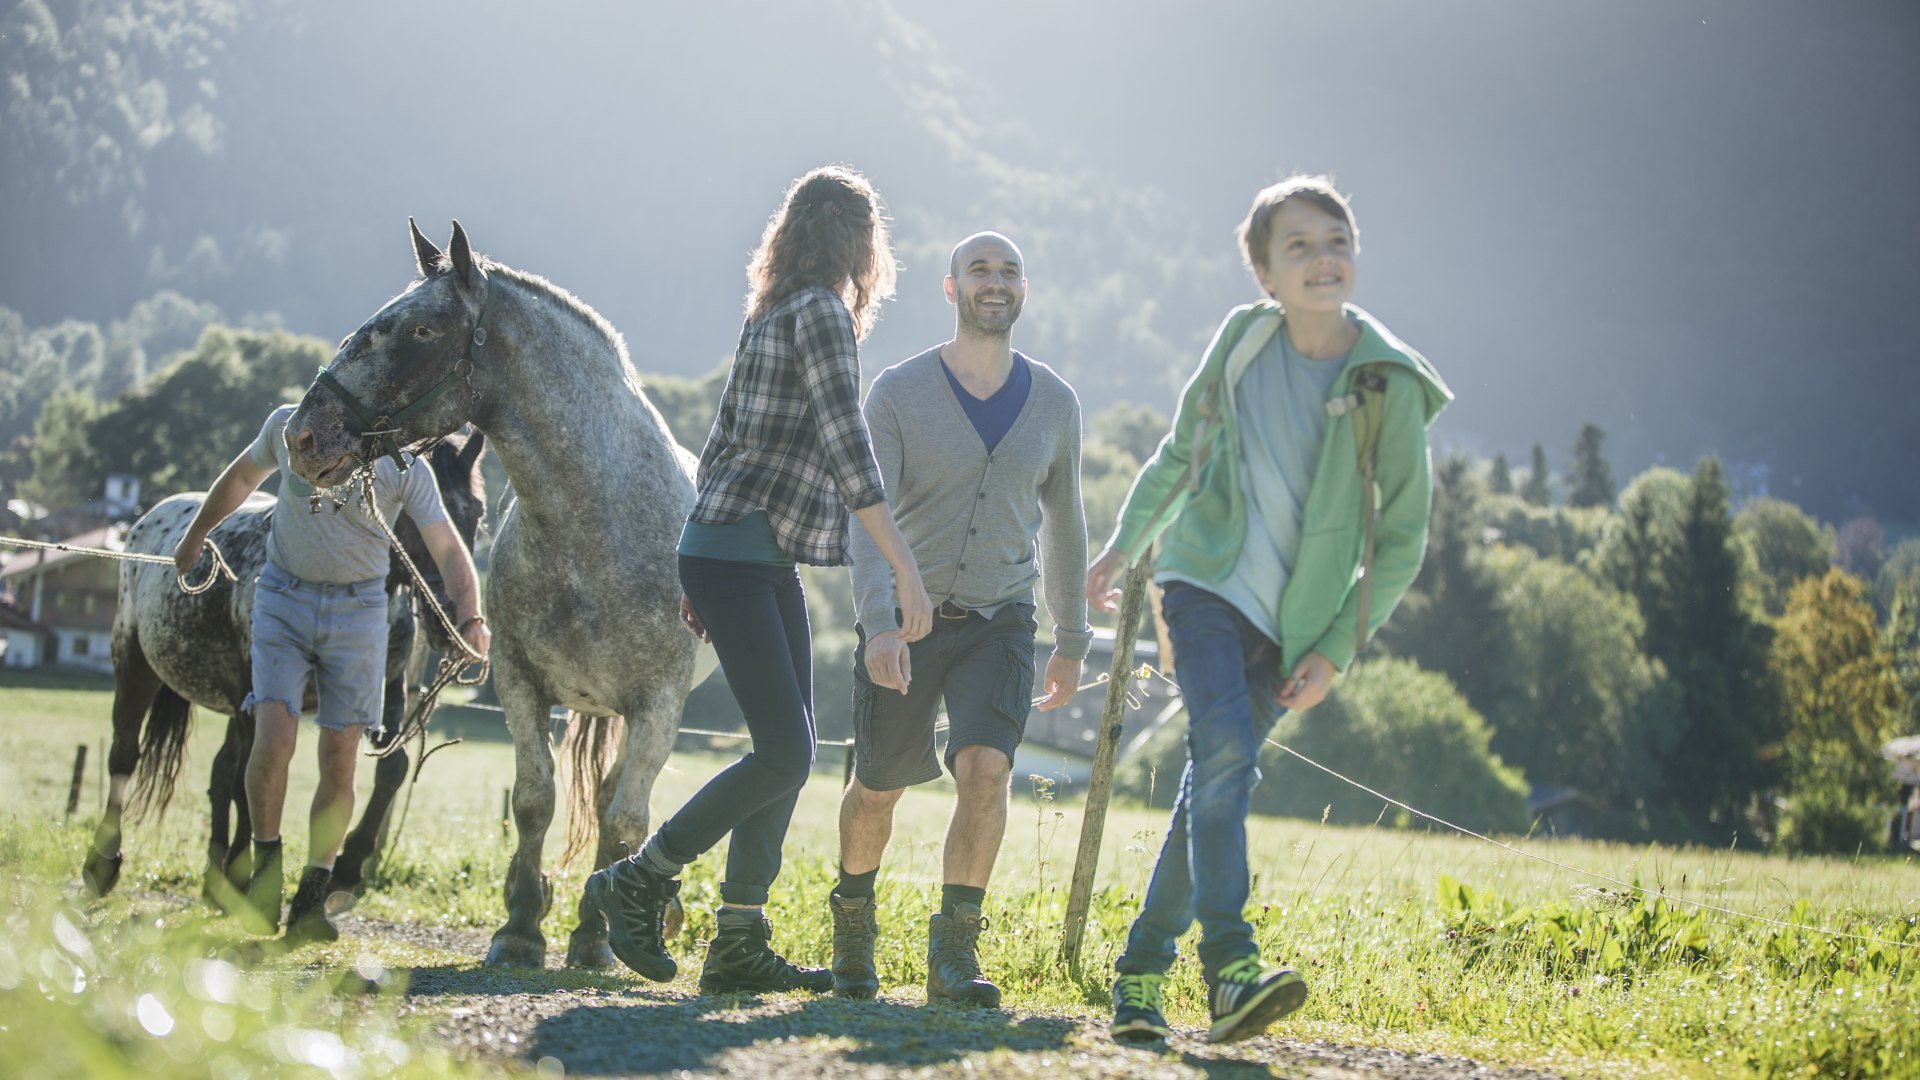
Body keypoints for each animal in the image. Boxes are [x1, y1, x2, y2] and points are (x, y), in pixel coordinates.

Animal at [284, 219, 706, 968]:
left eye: (421, 329)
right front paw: (520, 928)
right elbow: (535, 800)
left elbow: (626, 817)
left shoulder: (659, 704)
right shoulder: (518, 682)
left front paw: (598, 934)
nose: (303, 434)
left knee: (614, 806)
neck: (594, 531)